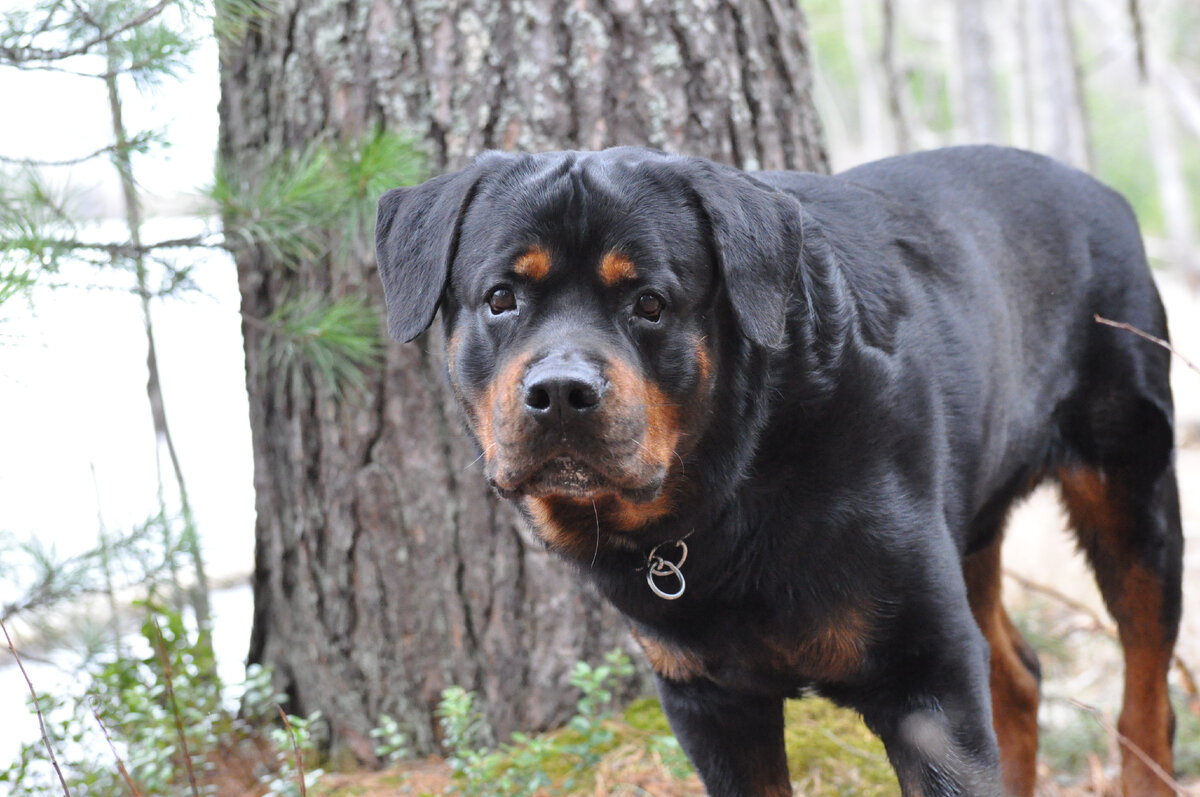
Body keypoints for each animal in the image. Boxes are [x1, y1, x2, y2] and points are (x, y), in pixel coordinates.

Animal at [374, 144, 1180, 797]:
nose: (562, 391)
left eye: (650, 303)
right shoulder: (707, 701)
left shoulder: (927, 676)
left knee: (1146, 691)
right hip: (971, 525)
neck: (732, 488)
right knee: (1017, 675)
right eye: (501, 298)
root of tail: (1103, 192)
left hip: (1130, 490)